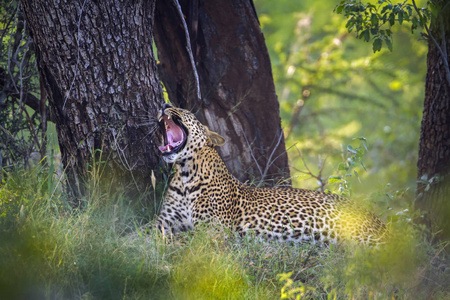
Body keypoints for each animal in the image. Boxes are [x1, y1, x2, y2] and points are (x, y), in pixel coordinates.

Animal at [156, 104, 386, 245]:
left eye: (185, 110)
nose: (164, 105)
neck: (185, 175)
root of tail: (377, 219)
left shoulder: (213, 229)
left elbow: (187, 241)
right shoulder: (164, 223)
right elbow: (152, 236)